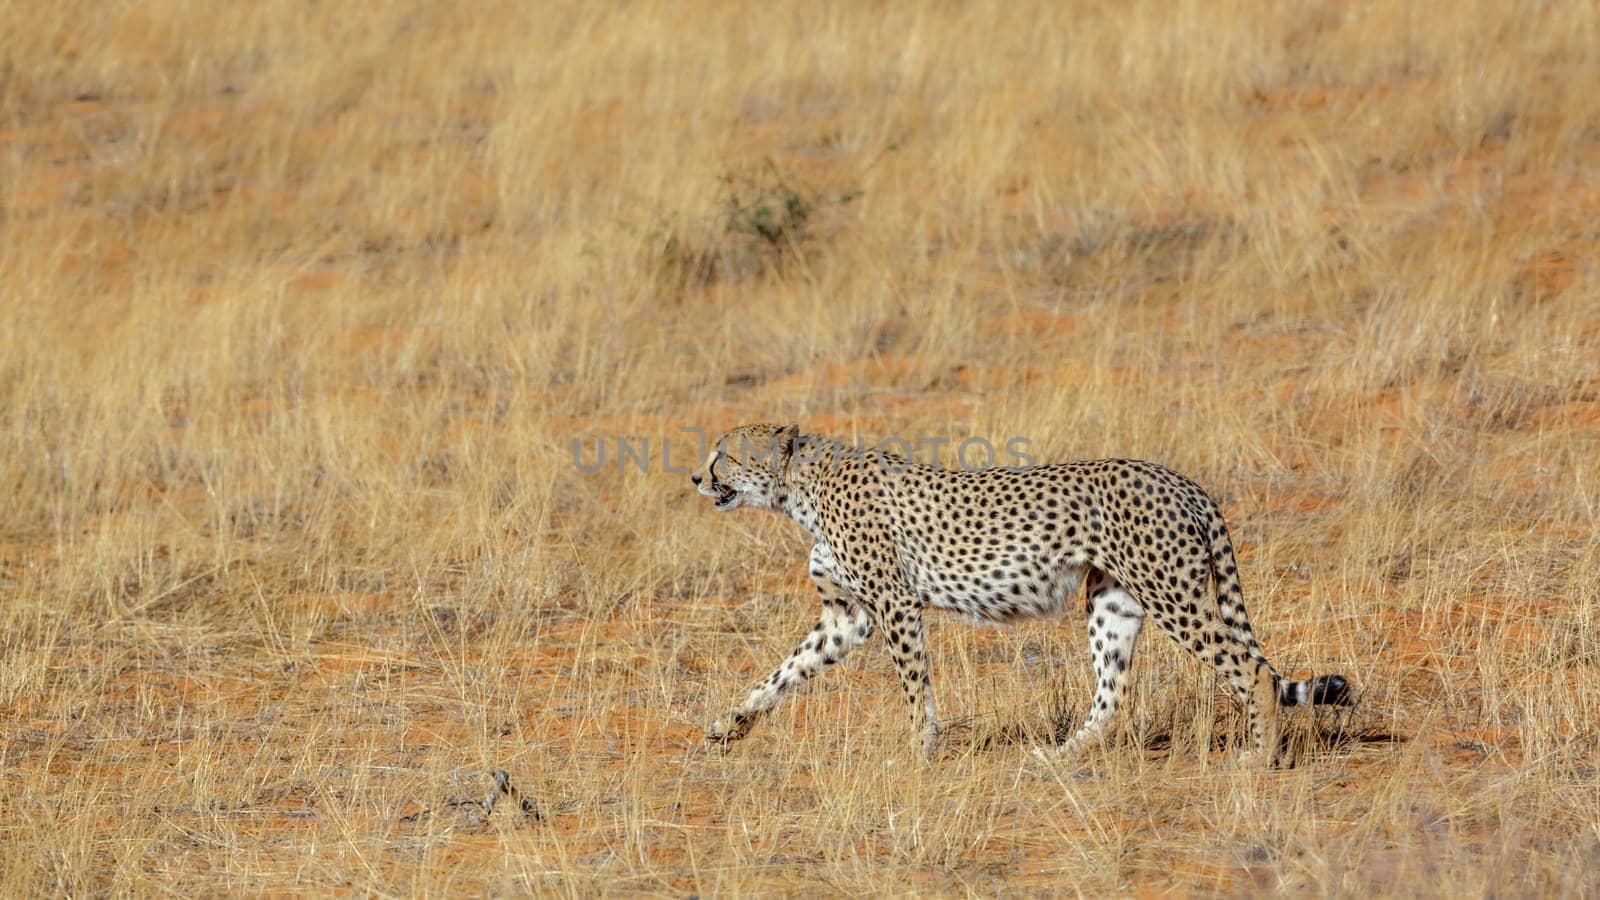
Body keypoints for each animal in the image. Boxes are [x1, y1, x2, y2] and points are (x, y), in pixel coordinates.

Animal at [688, 422, 1350, 762]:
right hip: (1111, 603)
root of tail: (1183, 479)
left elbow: (914, 687)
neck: (800, 490)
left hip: (1172, 595)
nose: (696, 476)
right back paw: (1060, 758)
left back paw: (1259, 759)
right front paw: (730, 724)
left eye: (724, 454)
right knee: (1113, 694)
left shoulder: (895, 605)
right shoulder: (847, 615)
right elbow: (783, 673)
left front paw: (917, 752)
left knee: (1251, 670)